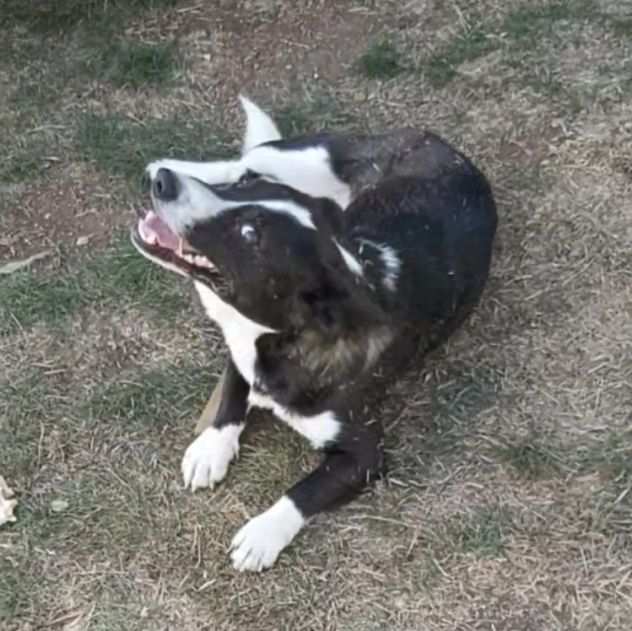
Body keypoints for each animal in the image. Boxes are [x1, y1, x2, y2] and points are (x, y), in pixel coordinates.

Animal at [132, 97, 498, 572]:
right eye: (245, 190)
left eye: (250, 235)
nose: (162, 185)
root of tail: (446, 147)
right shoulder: (241, 348)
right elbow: (233, 388)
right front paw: (212, 447)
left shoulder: (364, 456)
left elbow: (303, 491)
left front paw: (262, 535)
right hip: (297, 160)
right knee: (243, 156)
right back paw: (168, 161)